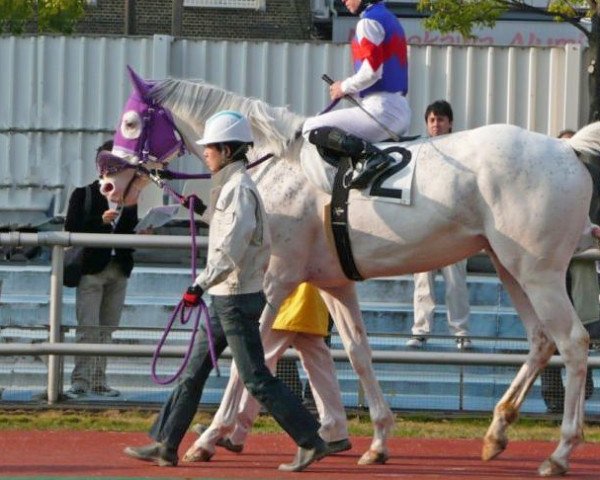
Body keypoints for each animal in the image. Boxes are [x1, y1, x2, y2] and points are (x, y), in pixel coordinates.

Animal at [112, 72, 600, 476]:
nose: (107, 183)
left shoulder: (275, 280)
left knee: (573, 343)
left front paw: (210, 437)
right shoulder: (334, 282)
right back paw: (497, 432)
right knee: (541, 341)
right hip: (510, 267)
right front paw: (378, 441)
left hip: (539, 274)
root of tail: (565, 148)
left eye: (131, 123)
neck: (273, 164)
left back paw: (560, 452)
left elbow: (246, 361)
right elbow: (358, 353)